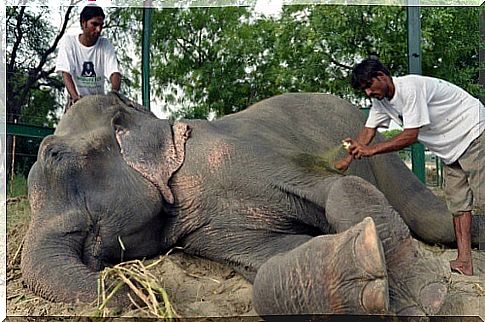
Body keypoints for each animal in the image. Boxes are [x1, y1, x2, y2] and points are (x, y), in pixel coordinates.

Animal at [20, 92, 482, 316]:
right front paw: (367, 282)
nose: (135, 291)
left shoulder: (250, 153)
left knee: (434, 220)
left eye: (53, 155)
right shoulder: (205, 230)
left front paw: (427, 301)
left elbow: (339, 187)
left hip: (385, 156)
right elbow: (271, 258)